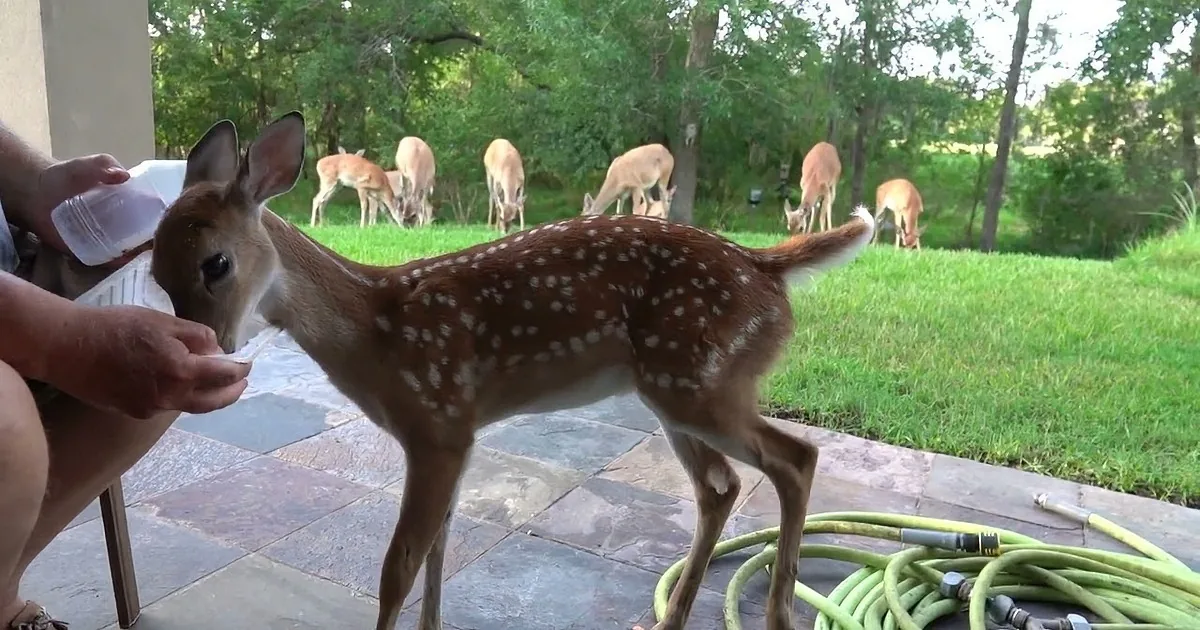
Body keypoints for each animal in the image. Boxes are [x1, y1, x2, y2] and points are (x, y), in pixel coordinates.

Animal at [148, 111, 877, 630]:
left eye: (216, 263)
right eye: (154, 270)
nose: (207, 349)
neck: (372, 329)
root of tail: (766, 266)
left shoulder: (437, 423)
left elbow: (397, 566)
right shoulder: (455, 435)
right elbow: (437, 553)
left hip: (698, 380)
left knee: (796, 458)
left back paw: (777, 614)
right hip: (677, 390)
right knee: (721, 487)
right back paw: (667, 620)